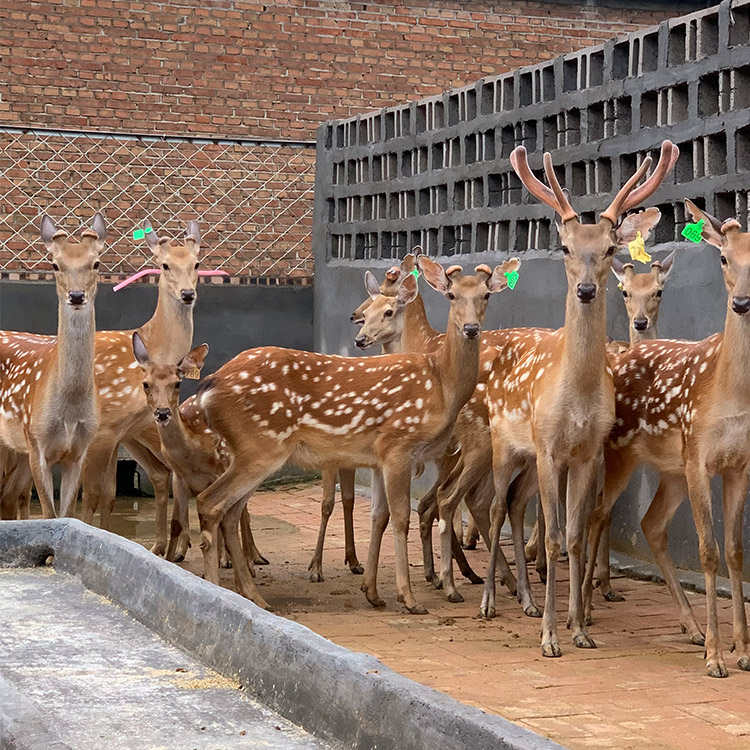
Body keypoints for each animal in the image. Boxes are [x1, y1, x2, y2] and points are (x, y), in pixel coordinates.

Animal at [0, 212, 104, 516]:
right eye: (55, 264)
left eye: (96, 262)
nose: (77, 295)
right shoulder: (36, 442)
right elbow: (49, 513)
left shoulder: (79, 451)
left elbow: (67, 515)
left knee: (8, 498)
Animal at [192, 258, 524, 612]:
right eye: (450, 295)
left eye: (486, 295)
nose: (471, 328)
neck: (441, 384)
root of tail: (208, 386)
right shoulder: (398, 446)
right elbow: (400, 517)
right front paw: (408, 598)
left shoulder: (379, 458)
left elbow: (379, 515)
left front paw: (372, 592)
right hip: (260, 446)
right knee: (210, 503)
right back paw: (218, 590)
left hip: (253, 451)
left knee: (230, 512)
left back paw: (254, 597)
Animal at [482, 142, 680, 656]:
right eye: (567, 248)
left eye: (609, 248)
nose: (587, 289)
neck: (575, 400)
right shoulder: (550, 448)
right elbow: (552, 538)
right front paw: (550, 638)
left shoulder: (587, 452)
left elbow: (573, 535)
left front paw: (579, 628)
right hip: (503, 442)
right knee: (494, 508)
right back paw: (489, 601)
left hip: (529, 457)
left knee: (514, 507)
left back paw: (527, 600)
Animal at [584, 201, 750, 680]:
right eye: (723, 257)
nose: (741, 302)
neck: (730, 391)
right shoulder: (699, 457)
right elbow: (709, 550)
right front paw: (715, 657)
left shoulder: (739, 463)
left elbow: (735, 551)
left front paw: (742, 649)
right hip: (621, 451)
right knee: (597, 513)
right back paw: (584, 614)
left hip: (671, 469)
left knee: (650, 523)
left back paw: (689, 626)